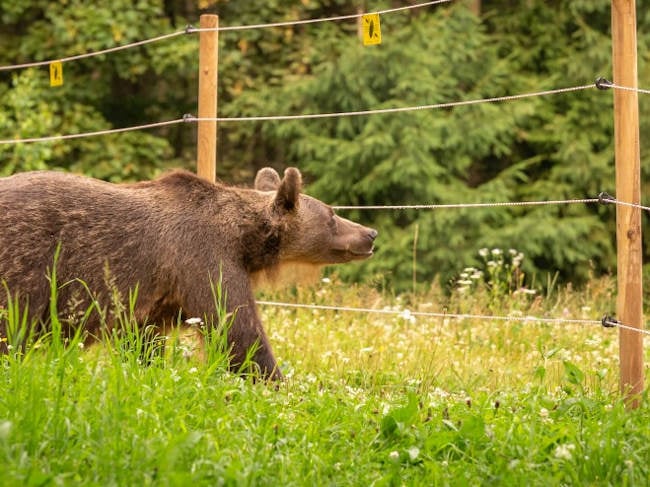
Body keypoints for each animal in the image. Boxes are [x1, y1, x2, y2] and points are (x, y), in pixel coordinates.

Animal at [0, 170, 374, 380]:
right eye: (332, 215)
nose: (370, 233)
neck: (244, 239)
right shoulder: (201, 259)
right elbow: (238, 331)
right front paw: (275, 381)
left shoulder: (152, 297)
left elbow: (144, 341)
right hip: (24, 264)